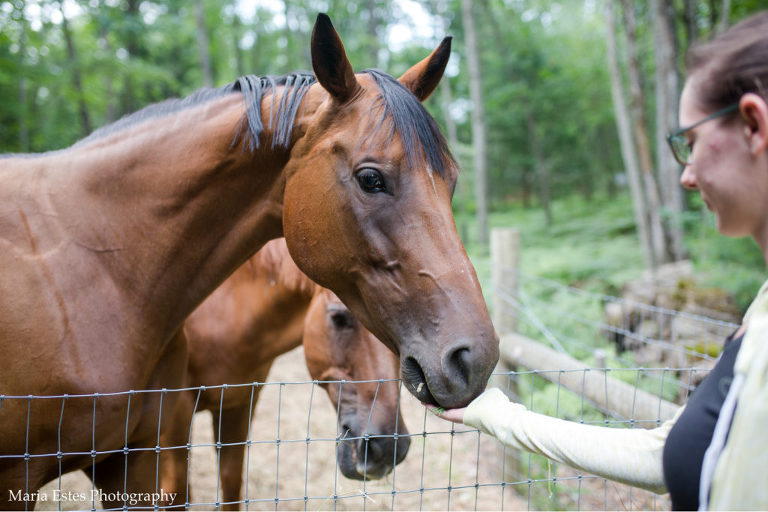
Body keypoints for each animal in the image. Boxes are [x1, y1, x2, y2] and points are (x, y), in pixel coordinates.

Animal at [161, 239, 408, 508]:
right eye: (339, 317)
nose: (388, 448)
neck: (220, 310)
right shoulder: (176, 416)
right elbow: (176, 492)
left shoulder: (240, 401)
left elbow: (230, 480)